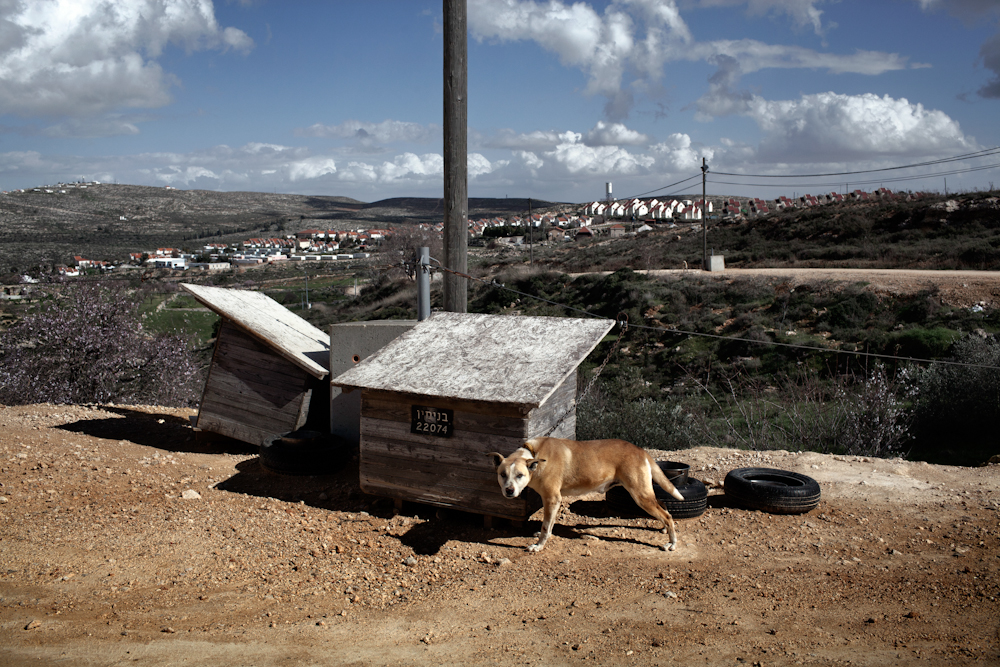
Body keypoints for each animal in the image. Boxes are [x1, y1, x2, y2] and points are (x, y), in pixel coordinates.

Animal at [488, 438, 684, 552]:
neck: (535, 455)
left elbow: (545, 526)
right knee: (664, 508)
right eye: (502, 474)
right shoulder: (553, 501)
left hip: (640, 495)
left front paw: (538, 546)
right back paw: (665, 530)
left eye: (520, 475)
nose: (509, 490)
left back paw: (672, 542)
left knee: (667, 515)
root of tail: (640, 450)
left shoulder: (552, 498)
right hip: (645, 493)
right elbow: (549, 524)